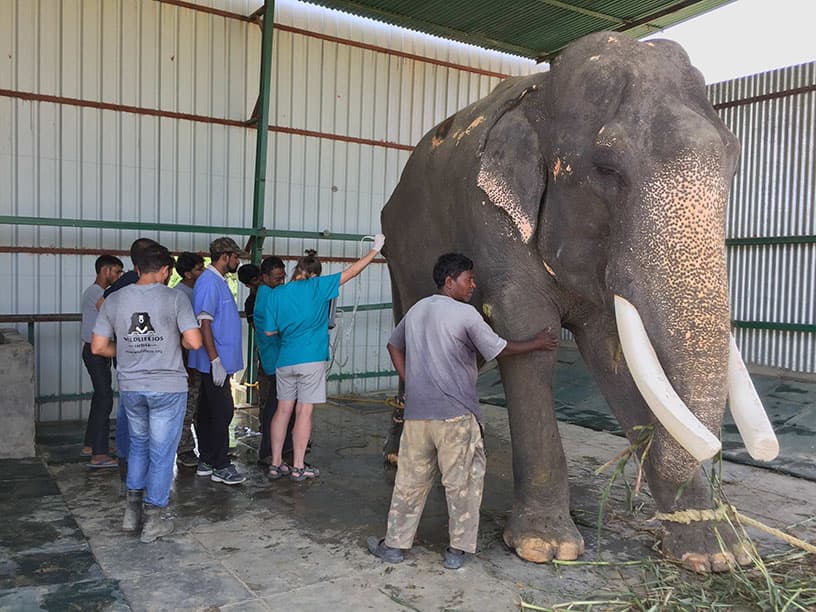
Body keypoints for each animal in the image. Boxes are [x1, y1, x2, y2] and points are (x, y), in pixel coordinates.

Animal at [380, 31, 779, 573]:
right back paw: (397, 455)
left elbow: (616, 354)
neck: (543, 93)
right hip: (398, 248)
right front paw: (545, 547)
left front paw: (719, 555)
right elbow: (527, 334)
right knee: (406, 324)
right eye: (606, 168)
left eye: (735, 160)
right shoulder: (491, 218)